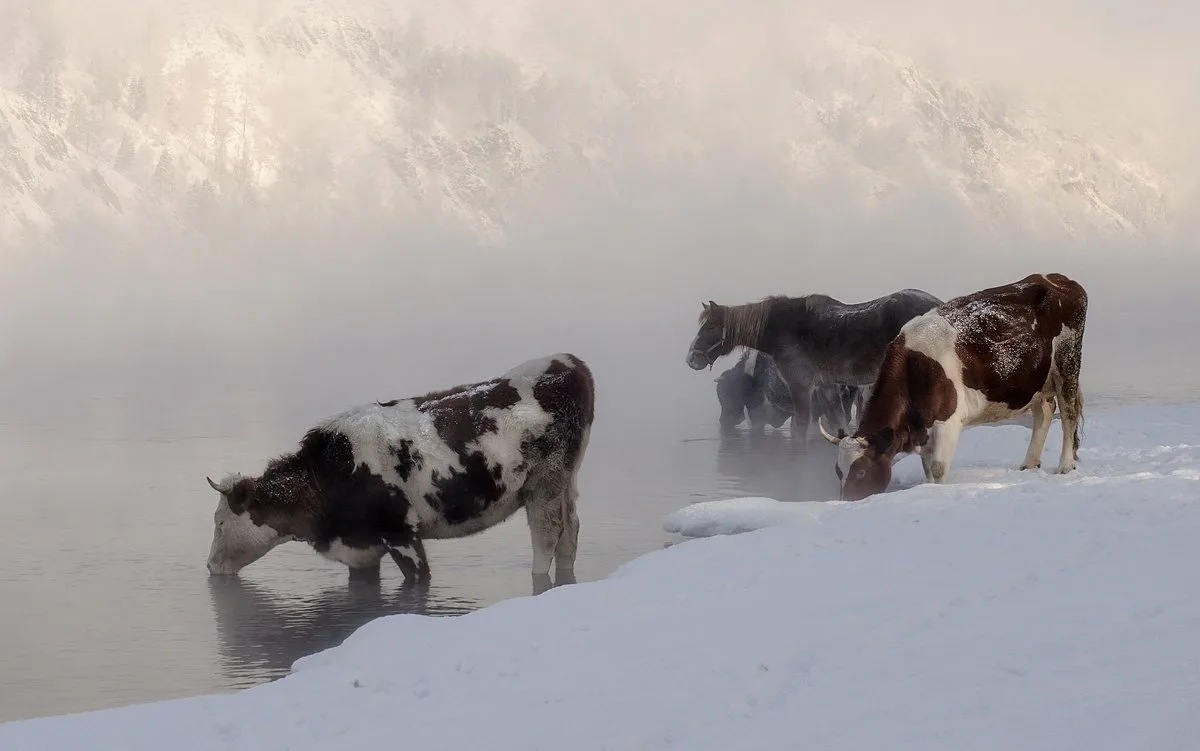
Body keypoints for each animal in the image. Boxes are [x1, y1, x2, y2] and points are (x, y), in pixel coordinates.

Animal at [207, 352, 600, 590]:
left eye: (221, 522)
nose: (210, 565)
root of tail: (567, 361)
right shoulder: (361, 549)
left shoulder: (401, 532)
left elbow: (418, 579)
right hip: (565, 484)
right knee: (570, 532)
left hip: (543, 487)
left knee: (547, 536)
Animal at [825, 272, 1089, 499]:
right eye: (838, 471)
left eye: (860, 471)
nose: (846, 501)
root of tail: (1057, 279)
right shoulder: (925, 426)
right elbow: (929, 469)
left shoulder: (948, 421)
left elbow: (938, 468)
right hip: (1037, 380)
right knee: (1043, 413)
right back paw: (1029, 464)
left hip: (1067, 362)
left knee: (1068, 413)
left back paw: (1065, 465)